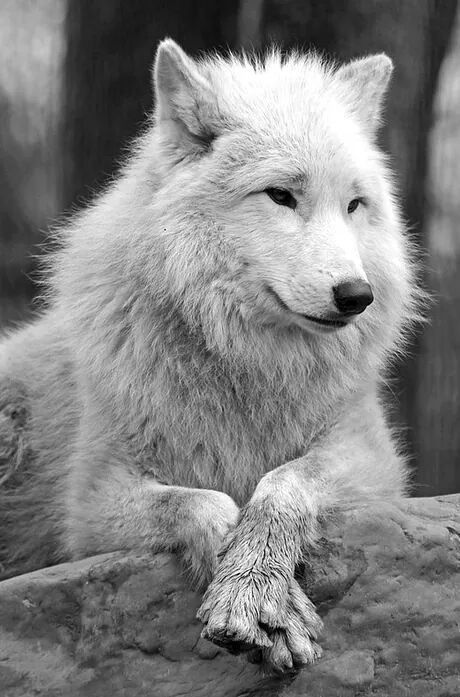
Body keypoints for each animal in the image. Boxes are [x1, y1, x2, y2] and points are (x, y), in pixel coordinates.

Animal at [0, 38, 418, 668]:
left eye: (354, 205)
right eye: (280, 196)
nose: (356, 295)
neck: (245, 363)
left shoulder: (372, 460)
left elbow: (280, 487)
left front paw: (256, 585)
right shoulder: (91, 503)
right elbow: (208, 505)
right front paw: (256, 600)